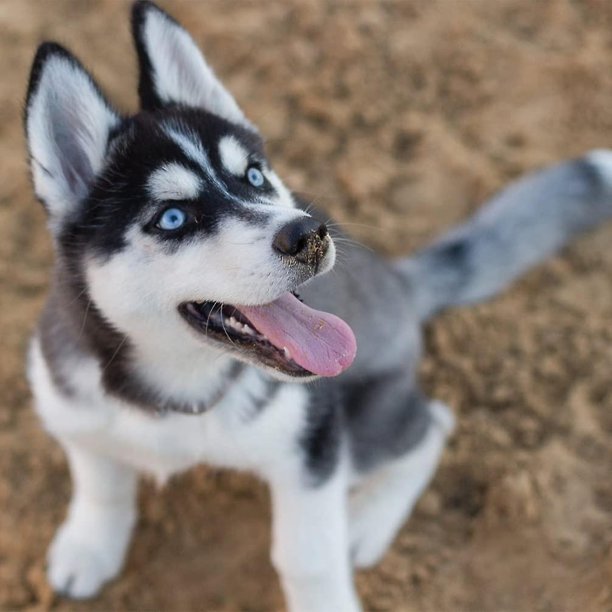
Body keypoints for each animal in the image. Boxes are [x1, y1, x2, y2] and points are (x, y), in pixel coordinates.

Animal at [26, 2, 612, 608]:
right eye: (171, 217)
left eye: (254, 175)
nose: (309, 234)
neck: (181, 385)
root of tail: (397, 280)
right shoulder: (71, 407)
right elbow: (99, 479)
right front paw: (90, 545)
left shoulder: (312, 447)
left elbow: (307, 557)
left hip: (366, 425)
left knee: (433, 424)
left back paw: (367, 520)